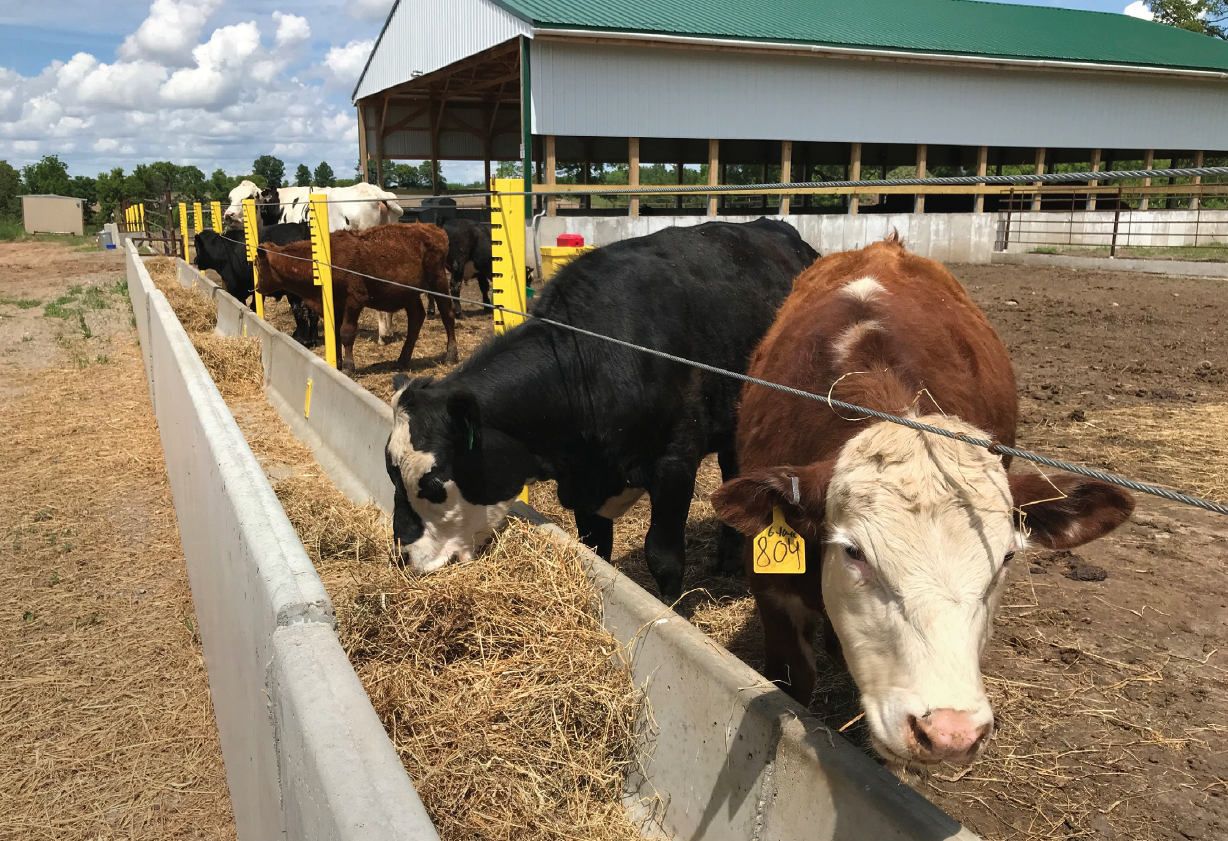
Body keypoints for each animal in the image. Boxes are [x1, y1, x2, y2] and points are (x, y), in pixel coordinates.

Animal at [254, 223, 454, 374]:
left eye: (257, 265)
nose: (257, 287)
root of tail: (433, 229)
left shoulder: (354, 301)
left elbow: (346, 333)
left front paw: (348, 366)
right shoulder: (334, 306)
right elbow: (335, 333)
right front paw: (337, 363)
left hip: (438, 281)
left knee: (447, 315)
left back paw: (452, 355)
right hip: (409, 293)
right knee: (416, 318)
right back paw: (403, 359)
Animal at [383, 219, 819, 601]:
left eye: (433, 484)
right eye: (391, 475)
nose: (402, 558)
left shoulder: (675, 463)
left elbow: (663, 556)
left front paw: (672, 610)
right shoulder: (584, 486)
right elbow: (596, 550)